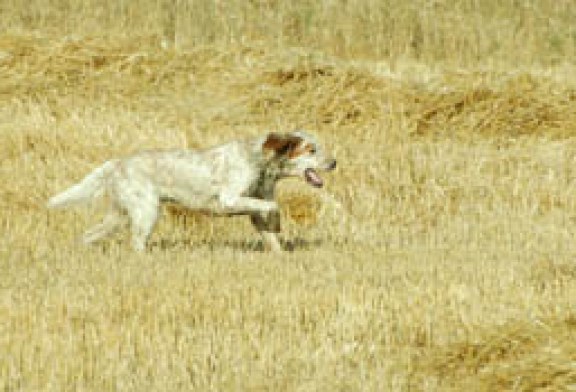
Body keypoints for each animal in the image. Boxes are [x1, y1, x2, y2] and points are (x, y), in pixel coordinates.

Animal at [49, 130, 340, 253]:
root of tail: (118, 162)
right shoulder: (229, 200)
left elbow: (271, 234)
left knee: (88, 235)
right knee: (136, 243)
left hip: (120, 215)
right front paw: (278, 222)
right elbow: (273, 207)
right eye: (311, 149)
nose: (334, 162)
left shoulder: (253, 207)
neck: (259, 161)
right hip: (146, 212)